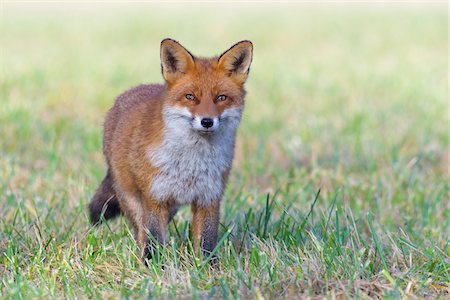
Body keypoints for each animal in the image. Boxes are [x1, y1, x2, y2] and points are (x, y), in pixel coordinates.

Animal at [89, 38, 253, 262]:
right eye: (190, 96)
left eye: (221, 97)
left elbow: (206, 242)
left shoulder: (209, 198)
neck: (191, 164)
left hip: (172, 207)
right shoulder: (154, 197)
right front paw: (152, 266)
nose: (207, 121)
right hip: (132, 198)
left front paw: (207, 267)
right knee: (139, 230)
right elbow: (152, 239)